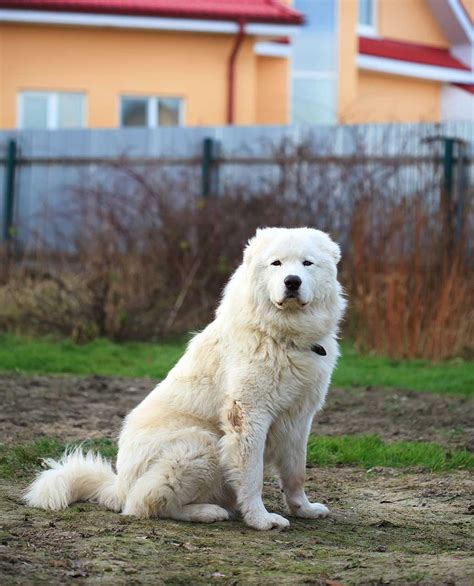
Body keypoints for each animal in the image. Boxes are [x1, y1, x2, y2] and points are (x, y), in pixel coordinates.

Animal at [25, 227, 344, 528]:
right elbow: (252, 476)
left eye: (307, 263)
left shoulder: (299, 418)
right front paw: (260, 519)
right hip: (201, 444)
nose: (292, 281)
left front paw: (304, 509)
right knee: (144, 503)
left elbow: (296, 472)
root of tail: (118, 486)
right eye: (276, 263)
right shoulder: (249, 415)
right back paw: (207, 512)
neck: (283, 336)